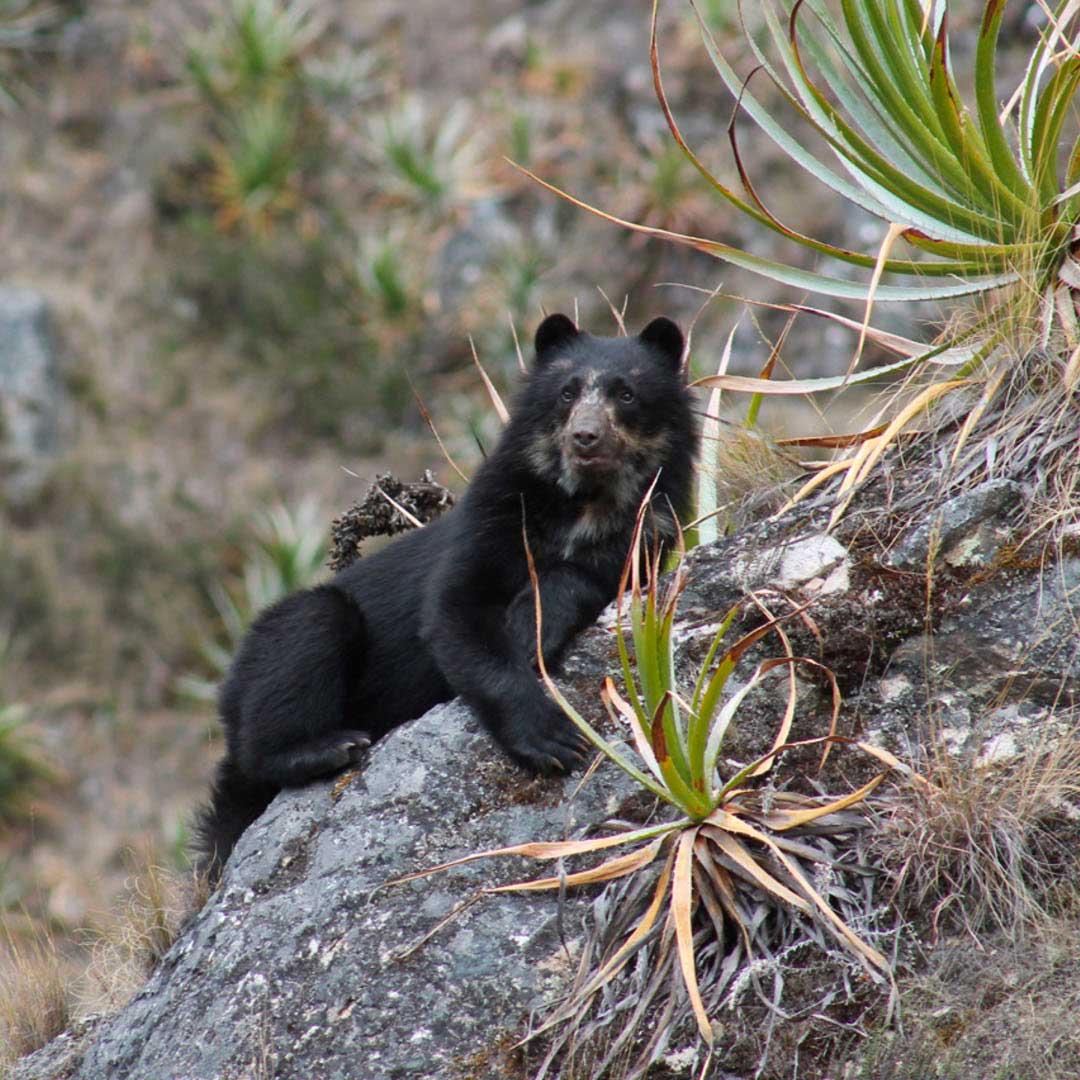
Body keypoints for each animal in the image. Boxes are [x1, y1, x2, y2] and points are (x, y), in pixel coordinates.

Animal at [194, 313, 698, 881]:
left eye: (627, 393)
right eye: (567, 392)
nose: (585, 436)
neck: (583, 503)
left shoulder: (648, 532)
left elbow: (591, 576)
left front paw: (531, 627)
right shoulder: (490, 519)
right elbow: (455, 613)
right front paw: (552, 739)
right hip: (277, 648)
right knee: (300, 653)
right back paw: (330, 746)